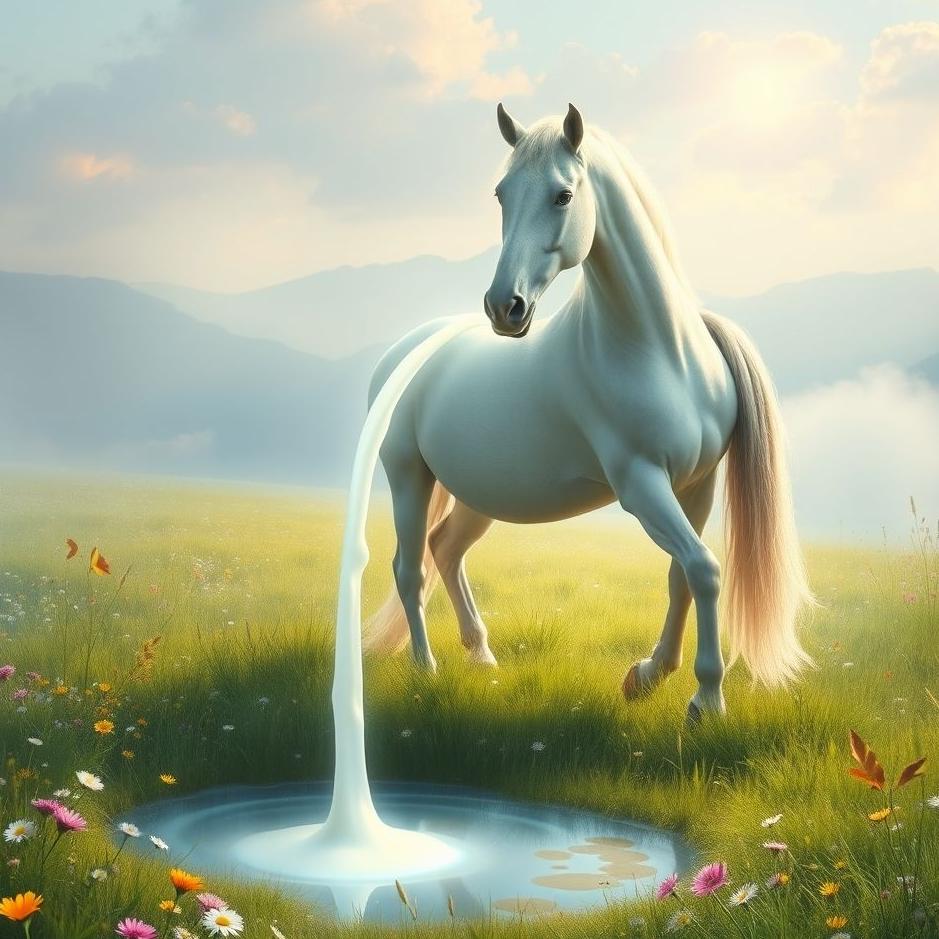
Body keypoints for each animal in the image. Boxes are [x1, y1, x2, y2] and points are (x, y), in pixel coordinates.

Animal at [363, 103, 813, 720]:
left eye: (563, 195)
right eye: (500, 194)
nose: (504, 307)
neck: (660, 351)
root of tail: (404, 350)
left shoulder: (696, 485)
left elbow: (684, 574)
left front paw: (647, 676)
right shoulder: (641, 485)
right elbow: (704, 570)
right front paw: (705, 697)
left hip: (477, 495)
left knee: (445, 550)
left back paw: (482, 658)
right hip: (408, 476)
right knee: (409, 571)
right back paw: (425, 670)